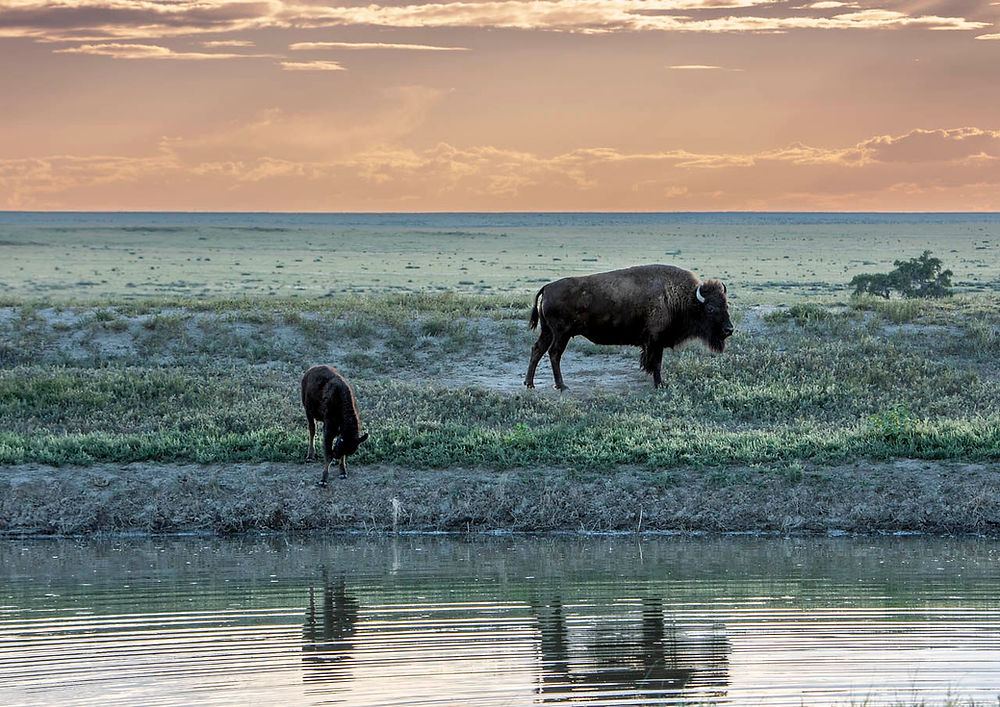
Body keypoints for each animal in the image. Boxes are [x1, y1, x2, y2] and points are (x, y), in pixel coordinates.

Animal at [524, 264, 734, 390]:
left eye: (726, 305)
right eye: (711, 308)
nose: (729, 330)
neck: (682, 298)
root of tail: (548, 287)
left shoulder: (652, 343)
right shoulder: (656, 341)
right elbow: (656, 363)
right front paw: (660, 384)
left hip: (547, 332)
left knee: (537, 350)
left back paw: (529, 383)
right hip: (561, 334)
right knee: (554, 353)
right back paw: (561, 386)